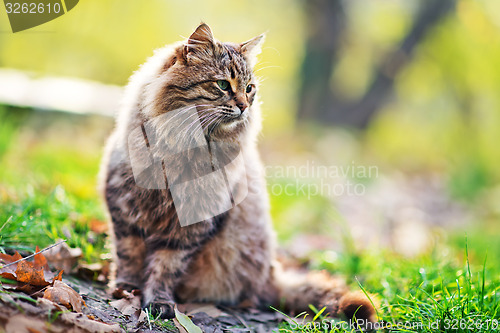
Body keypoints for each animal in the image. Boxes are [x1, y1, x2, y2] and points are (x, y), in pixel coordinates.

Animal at [99, 23, 376, 322]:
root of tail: (271, 275)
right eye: (223, 85)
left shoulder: (189, 228)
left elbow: (165, 267)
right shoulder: (125, 210)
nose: (244, 105)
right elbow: (128, 256)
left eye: (249, 88)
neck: (183, 148)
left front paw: (159, 301)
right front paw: (125, 289)